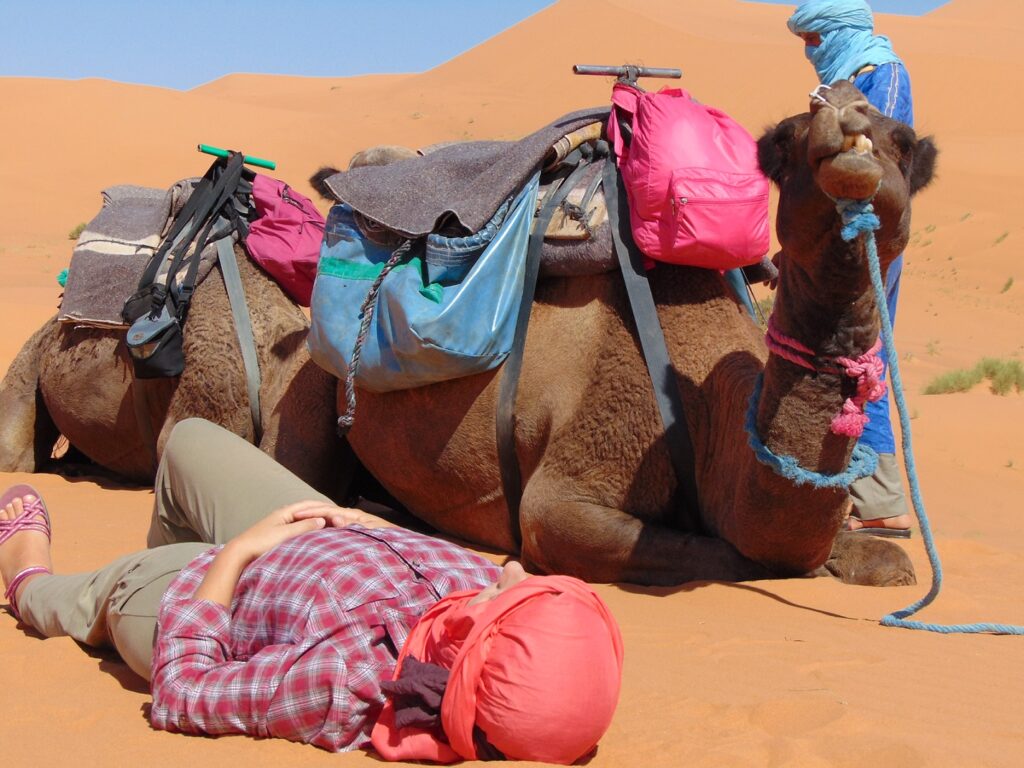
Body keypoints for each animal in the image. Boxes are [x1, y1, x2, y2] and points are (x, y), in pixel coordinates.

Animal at [327, 81, 937, 585]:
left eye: (904, 143)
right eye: (786, 140)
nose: (846, 110)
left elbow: (886, 562)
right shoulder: (569, 490)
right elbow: (732, 555)